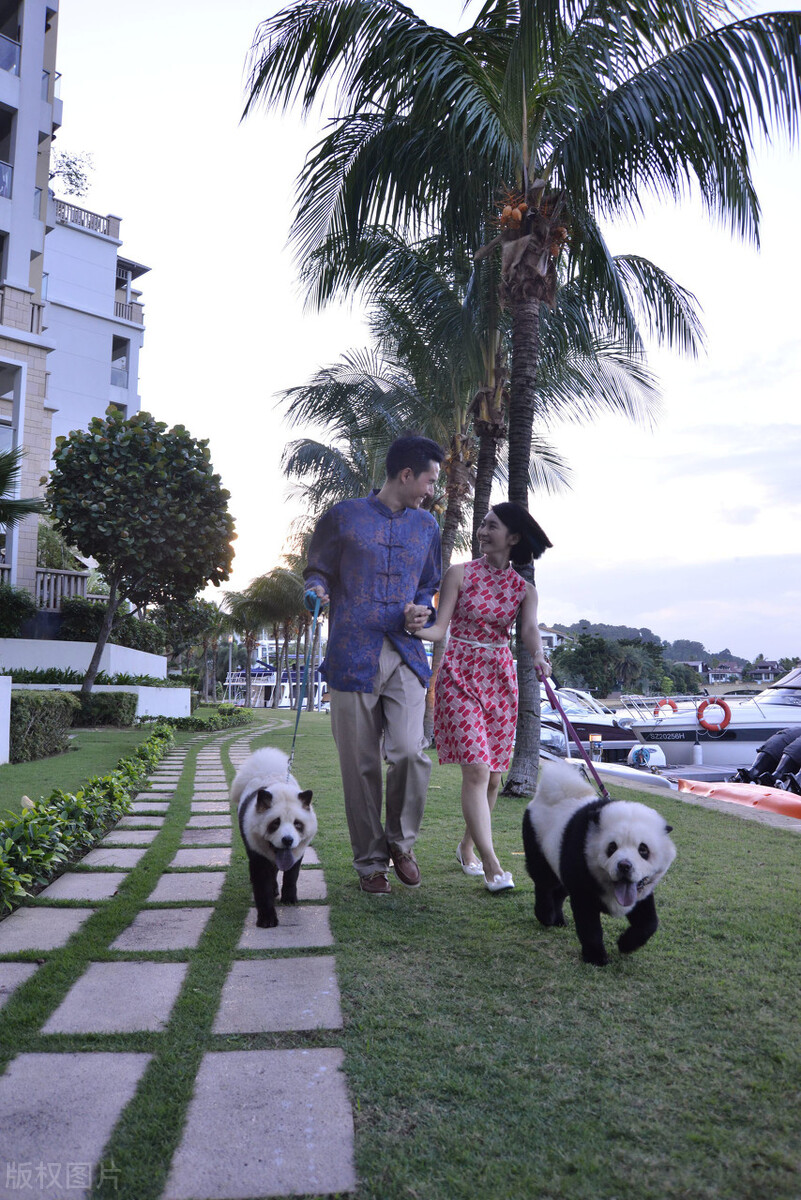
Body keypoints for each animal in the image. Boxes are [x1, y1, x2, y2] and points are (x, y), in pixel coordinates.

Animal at [230, 748, 316, 926]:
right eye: (275, 823)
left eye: (297, 824)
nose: (287, 840)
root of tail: (265, 770)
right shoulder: (256, 851)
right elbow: (263, 884)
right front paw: (267, 919)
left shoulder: (296, 853)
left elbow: (291, 875)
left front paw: (289, 899)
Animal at [520, 758, 676, 964]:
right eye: (611, 847)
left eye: (643, 850)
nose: (624, 866)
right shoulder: (581, 860)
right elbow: (588, 922)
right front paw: (597, 957)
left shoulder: (640, 888)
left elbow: (648, 920)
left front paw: (625, 944)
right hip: (536, 837)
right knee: (544, 881)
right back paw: (546, 915)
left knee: (561, 889)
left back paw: (559, 920)